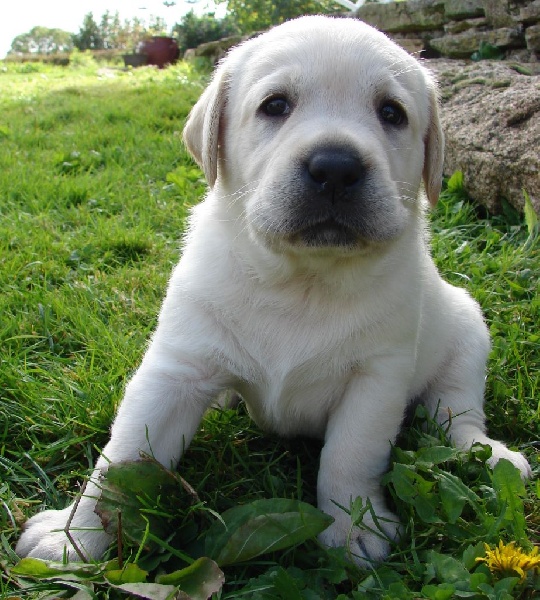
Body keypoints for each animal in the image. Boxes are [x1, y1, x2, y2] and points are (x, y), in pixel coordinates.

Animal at [16, 15, 531, 566]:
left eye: (391, 113)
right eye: (276, 105)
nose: (336, 167)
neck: (302, 281)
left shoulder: (376, 379)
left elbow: (350, 455)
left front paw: (353, 528)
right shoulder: (176, 370)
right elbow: (121, 461)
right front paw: (73, 537)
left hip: (468, 335)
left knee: (457, 413)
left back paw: (489, 454)